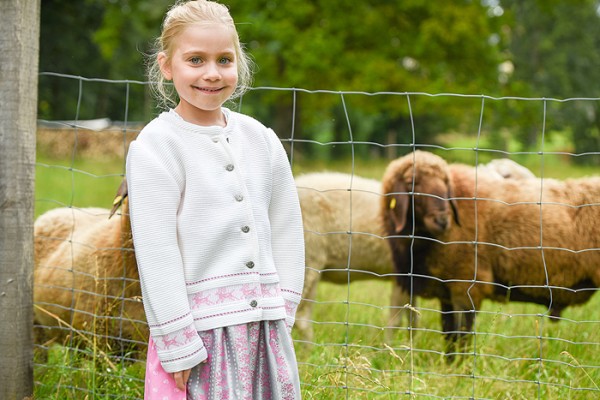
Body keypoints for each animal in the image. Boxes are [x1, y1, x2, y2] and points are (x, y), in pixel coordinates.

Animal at [382, 149, 600, 350]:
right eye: (411, 182)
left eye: (445, 183)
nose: (442, 220)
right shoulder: (447, 291)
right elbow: (450, 338)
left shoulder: (467, 284)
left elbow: (462, 339)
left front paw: (461, 368)